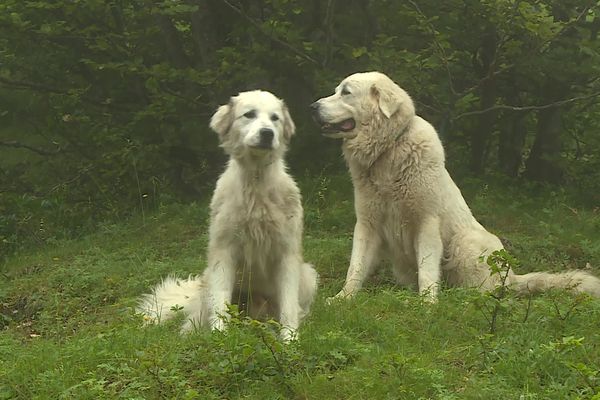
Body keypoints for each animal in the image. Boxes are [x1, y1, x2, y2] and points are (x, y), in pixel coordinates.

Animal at [140, 90, 318, 340]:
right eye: (249, 114)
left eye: (275, 118)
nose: (267, 133)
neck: (255, 182)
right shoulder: (223, 252)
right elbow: (220, 303)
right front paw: (220, 337)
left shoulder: (287, 253)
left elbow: (289, 306)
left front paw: (290, 339)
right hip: (208, 281)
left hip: (308, 276)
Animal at [312, 72, 600, 302]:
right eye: (337, 90)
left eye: (346, 92)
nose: (312, 106)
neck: (388, 150)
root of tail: (512, 278)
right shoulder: (367, 224)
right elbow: (356, 267)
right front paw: (342, 299)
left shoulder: (427, 223)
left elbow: (428, 270)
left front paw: (427, 305)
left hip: (466, 242)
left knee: (487, 290)